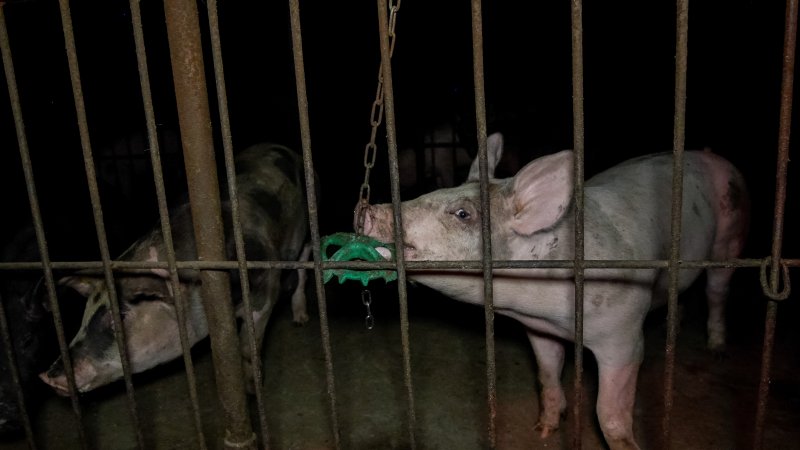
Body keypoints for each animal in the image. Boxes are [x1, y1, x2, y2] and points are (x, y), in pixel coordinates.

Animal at [39, 143, 312, 394]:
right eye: (84, 315)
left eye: (120, 316)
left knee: (302, 267)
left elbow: (249, 342)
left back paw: (300, 320)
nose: (47, 376)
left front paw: (252, 390)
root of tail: (283, 147)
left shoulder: (264, 286)